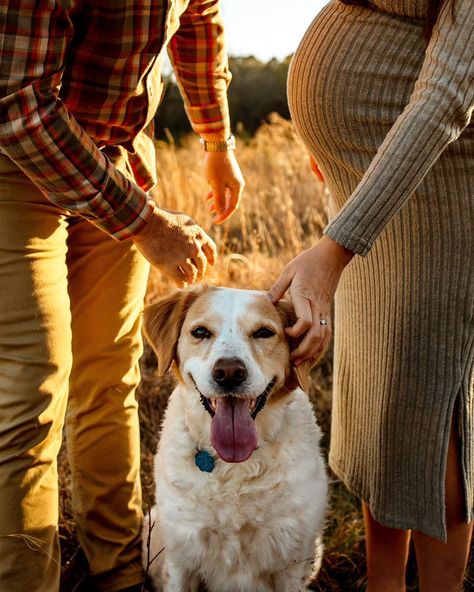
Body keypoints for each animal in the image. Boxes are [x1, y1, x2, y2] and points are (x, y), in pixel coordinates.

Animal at [143, 284, 328, 588]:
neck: (235, 466)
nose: (229, 373)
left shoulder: (291, 560)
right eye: (200, 332)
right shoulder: (181, 558)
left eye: (263, 332)